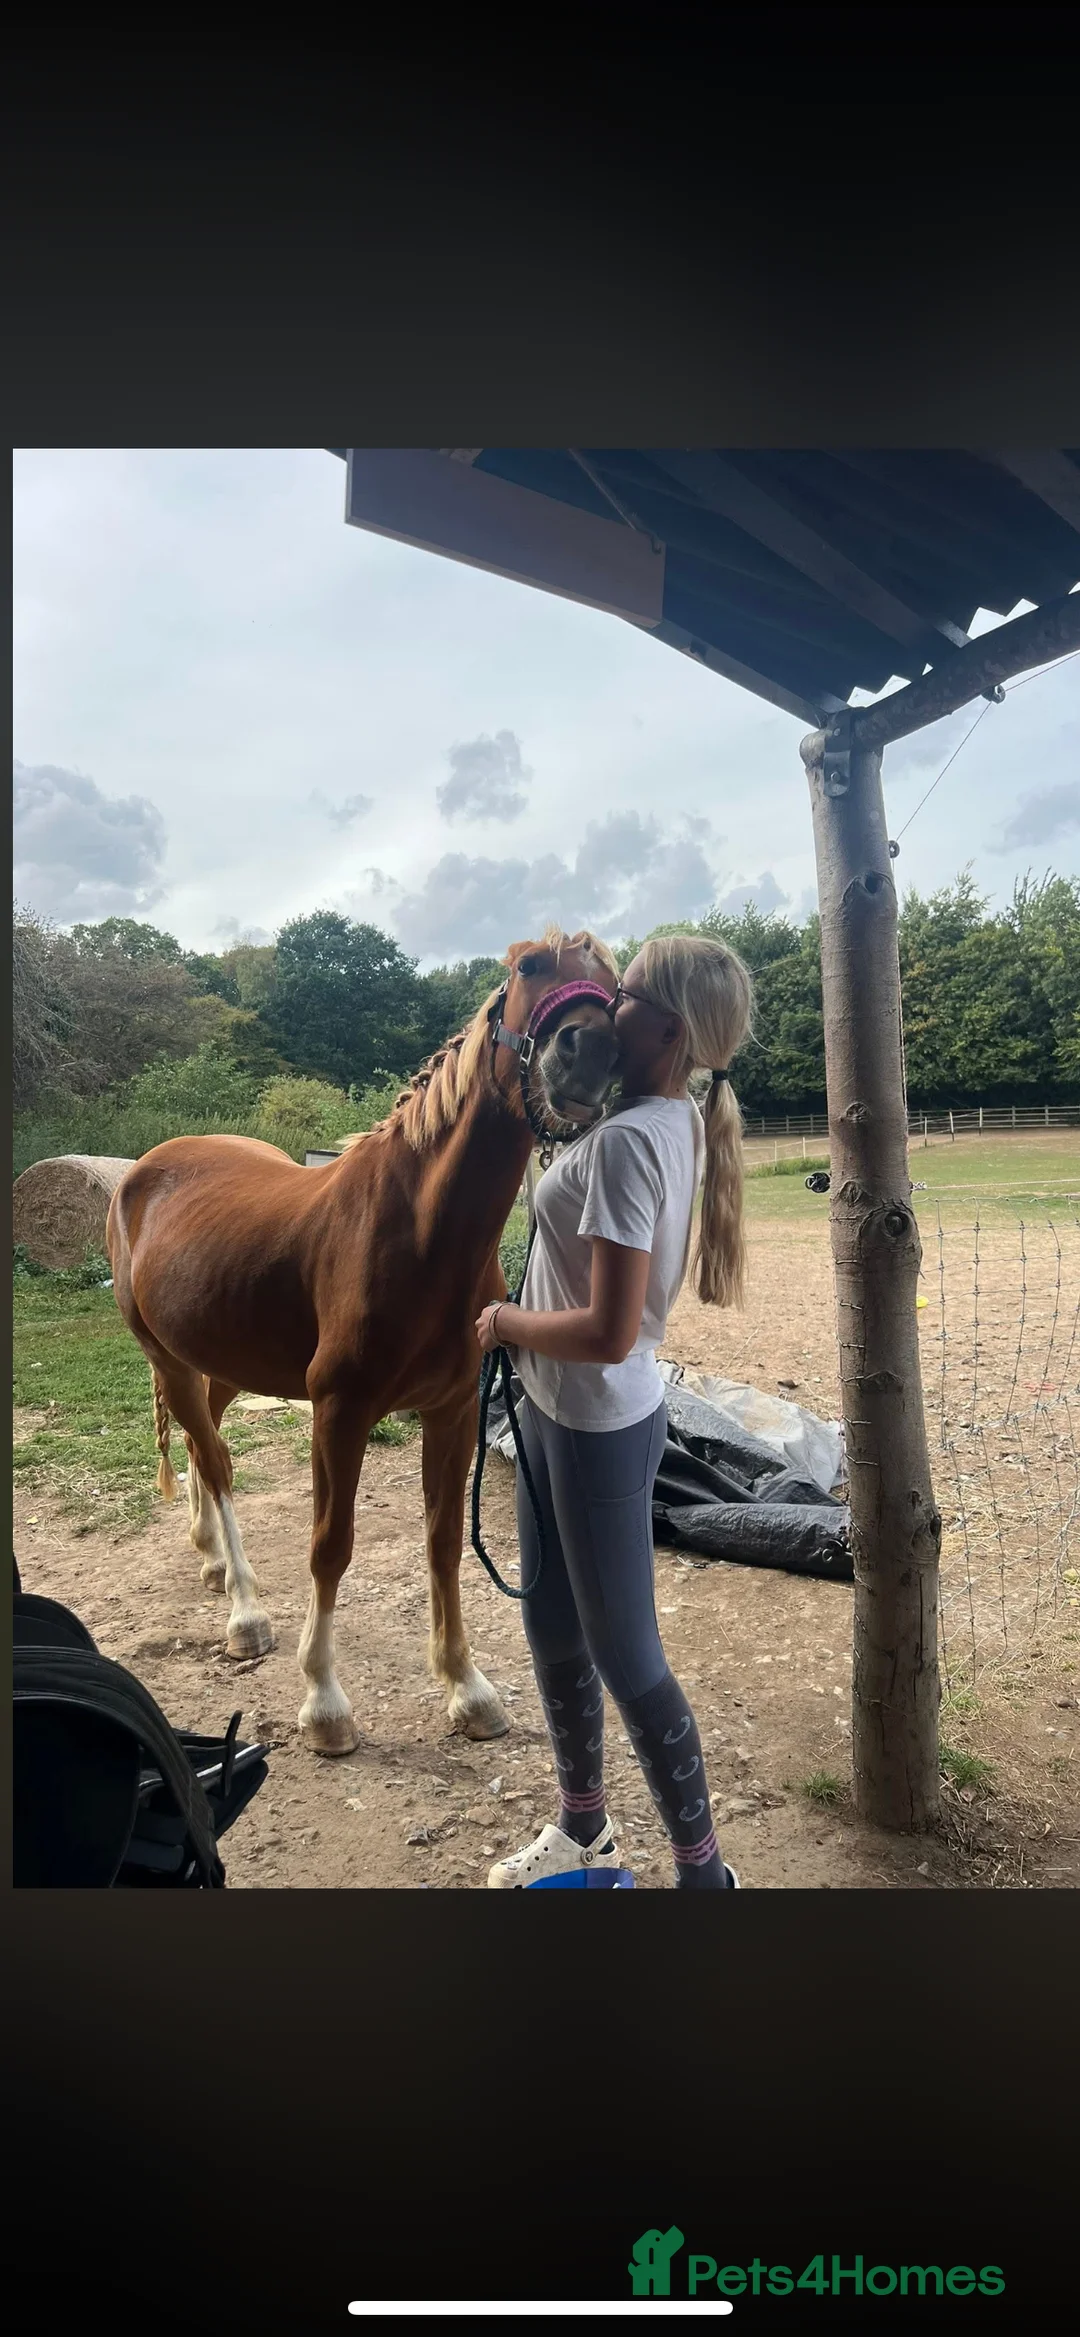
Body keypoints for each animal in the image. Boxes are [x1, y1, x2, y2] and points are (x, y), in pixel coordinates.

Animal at [106, 929, 621, 1756]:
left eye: (617, 985)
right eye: (528, 967)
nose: (591, 1049)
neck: (419, 1232)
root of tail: (141, 1172)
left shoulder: (451, 1412)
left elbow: (444, 1541)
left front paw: (466, 1686)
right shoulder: (339, 1412)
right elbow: (330, 1544)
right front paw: (324, 1700)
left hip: (218, 1360)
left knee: (200, 1442)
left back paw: (214, 1560)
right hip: (170, 1359)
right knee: (214, 1461)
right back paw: (245, 1609)